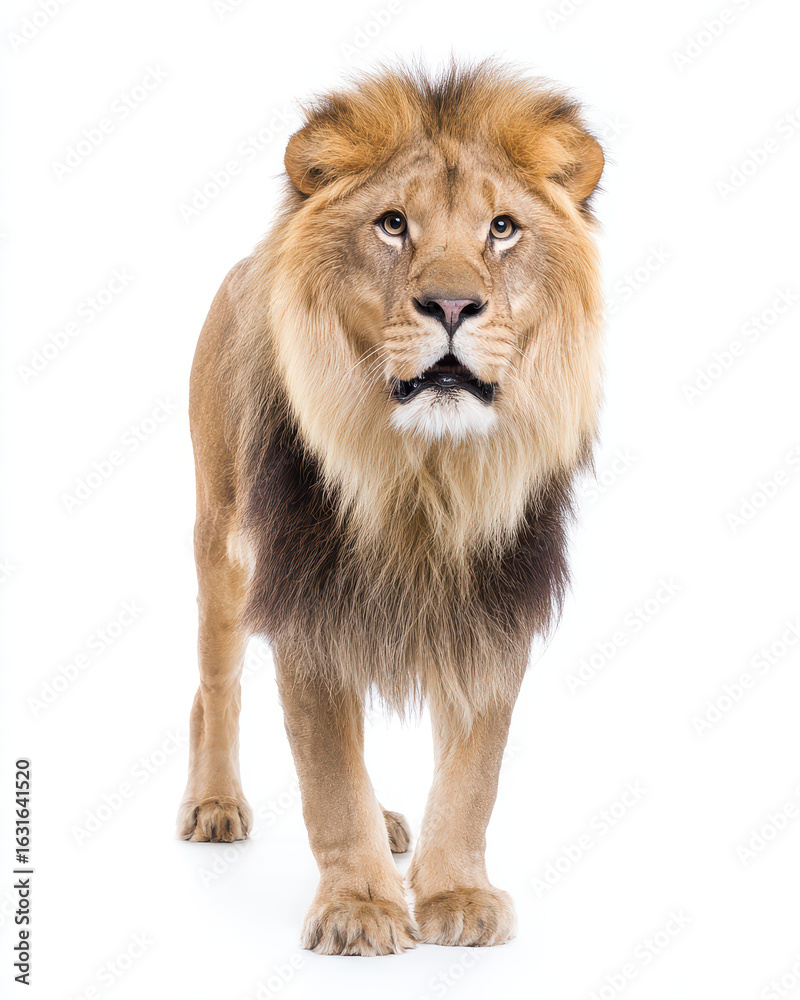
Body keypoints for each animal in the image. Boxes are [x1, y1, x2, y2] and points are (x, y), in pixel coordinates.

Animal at [177, 58, 605, 956]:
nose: (451, 306)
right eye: (393, 225)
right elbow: (329, 774)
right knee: (217, 685)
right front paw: (360, 908)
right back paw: (215, 804)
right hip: (220, 543)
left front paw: (455, 894)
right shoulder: (304, 597)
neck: (423, 471)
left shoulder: (492, 608)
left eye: (503, 229)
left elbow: (473, 773)